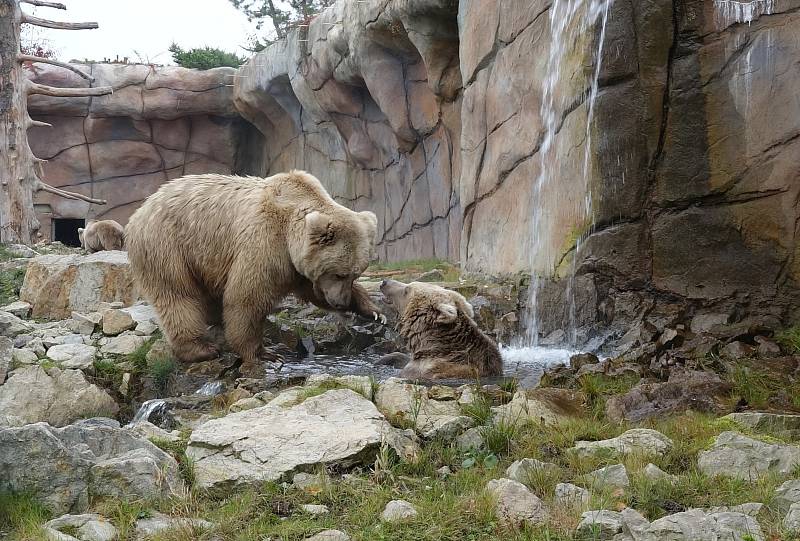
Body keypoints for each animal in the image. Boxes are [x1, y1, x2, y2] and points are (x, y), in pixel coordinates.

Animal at [126, 171, 382, 370]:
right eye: (339, 273)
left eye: (355, 274)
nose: (341, 302)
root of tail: (140, 210)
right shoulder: (265, 243)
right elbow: (247, 297)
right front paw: (263, 353)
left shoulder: (295, 264)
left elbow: (312, 290)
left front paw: (373, 310)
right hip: (168, 246)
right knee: (177, 296)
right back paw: (201, 348)